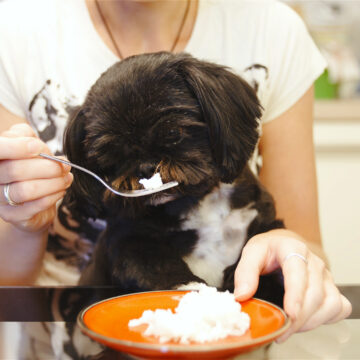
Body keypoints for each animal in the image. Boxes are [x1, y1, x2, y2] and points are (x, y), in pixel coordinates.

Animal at [63, 52, 286, 306]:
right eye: (112, 155)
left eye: (172, 133)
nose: (146, 168)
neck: (195, 202)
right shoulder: (128, 241)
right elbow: (160, 267)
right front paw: (196, 290)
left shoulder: (260, 218)